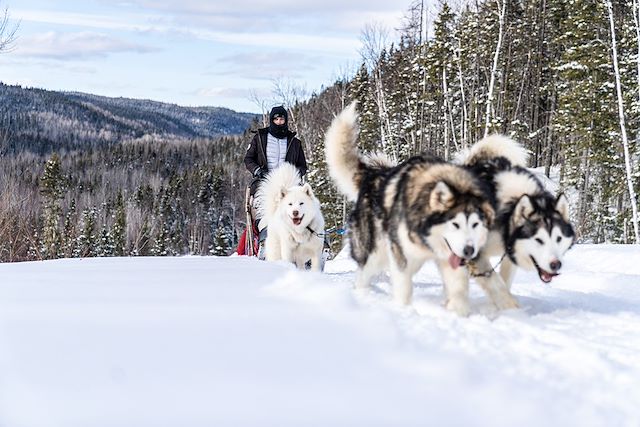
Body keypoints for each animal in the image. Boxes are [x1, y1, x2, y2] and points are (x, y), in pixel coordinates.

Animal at [324, 103, 520, 316]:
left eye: (476, 224)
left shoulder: (452, 259)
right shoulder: (402, 257)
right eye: (455, 224)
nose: (469, 250)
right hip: (376, 253)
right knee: (364, 274)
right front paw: (403, 311)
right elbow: (404, 289)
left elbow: (460, 288)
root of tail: (374, 174)